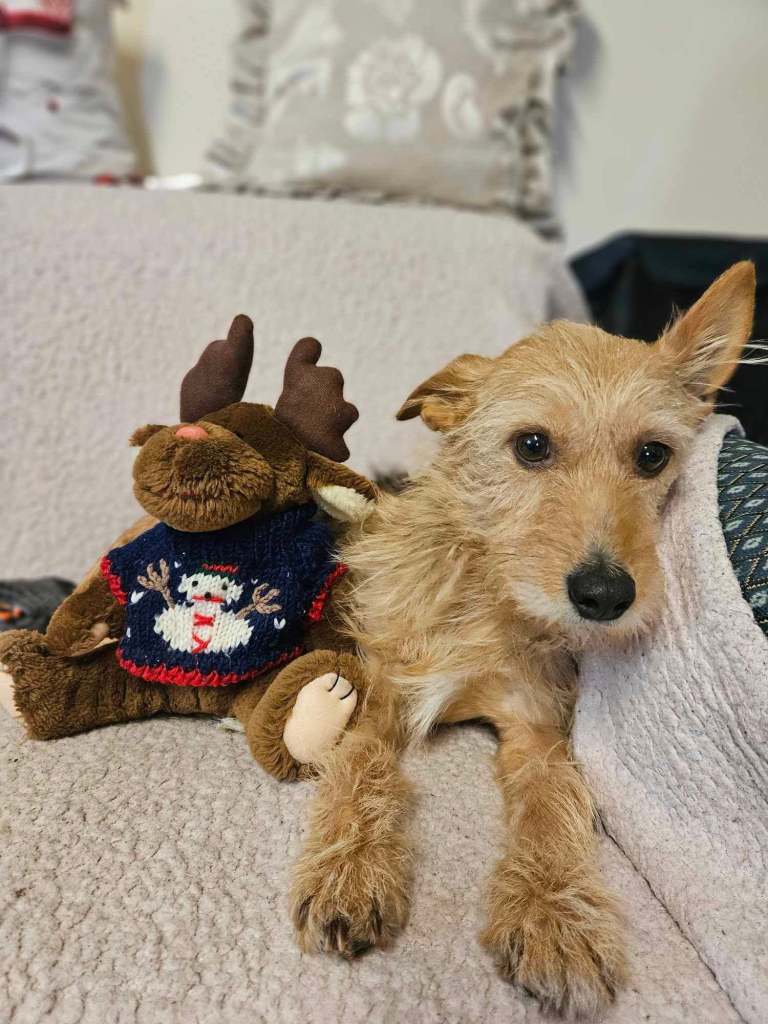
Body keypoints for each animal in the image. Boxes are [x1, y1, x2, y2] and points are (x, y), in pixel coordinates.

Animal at [289, 261, 757, 1018]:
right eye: (531, 445)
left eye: (653, 455)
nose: (605, 595)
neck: (489, 595)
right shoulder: (382, 694)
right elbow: (361, 765)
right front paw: (352, 868)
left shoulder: (537, 729)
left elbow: (549, 808)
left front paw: (553, 915)